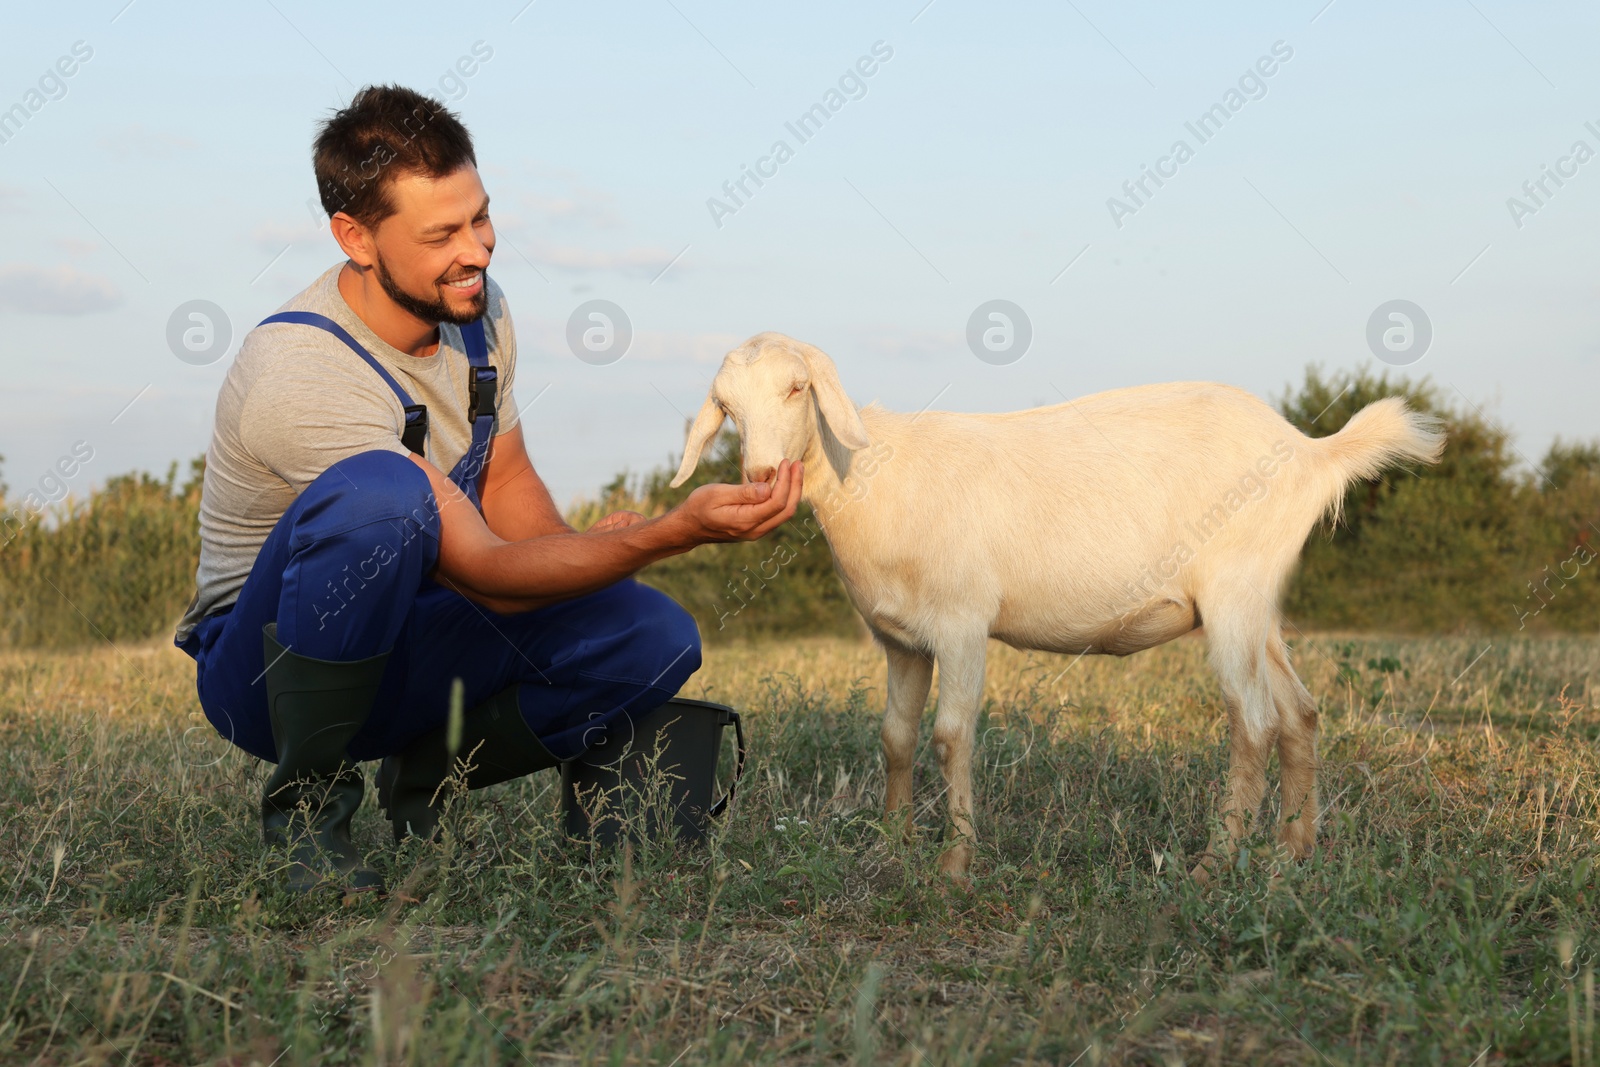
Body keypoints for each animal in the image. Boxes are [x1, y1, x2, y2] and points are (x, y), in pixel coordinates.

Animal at [668, 331, 1446, 876]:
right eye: (727, 407)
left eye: (798, 388)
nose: (760, 475)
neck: (871, 476)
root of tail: (1312, 453)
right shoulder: (902, 639)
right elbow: (895, 737)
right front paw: (892, 843)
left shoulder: (961, 623)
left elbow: (951, 736)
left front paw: (954, 866)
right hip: (1258, 605)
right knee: (1299, 713)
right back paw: (1291, 852)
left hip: (1233, 594)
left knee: (1252, 722)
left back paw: (1213, 865)